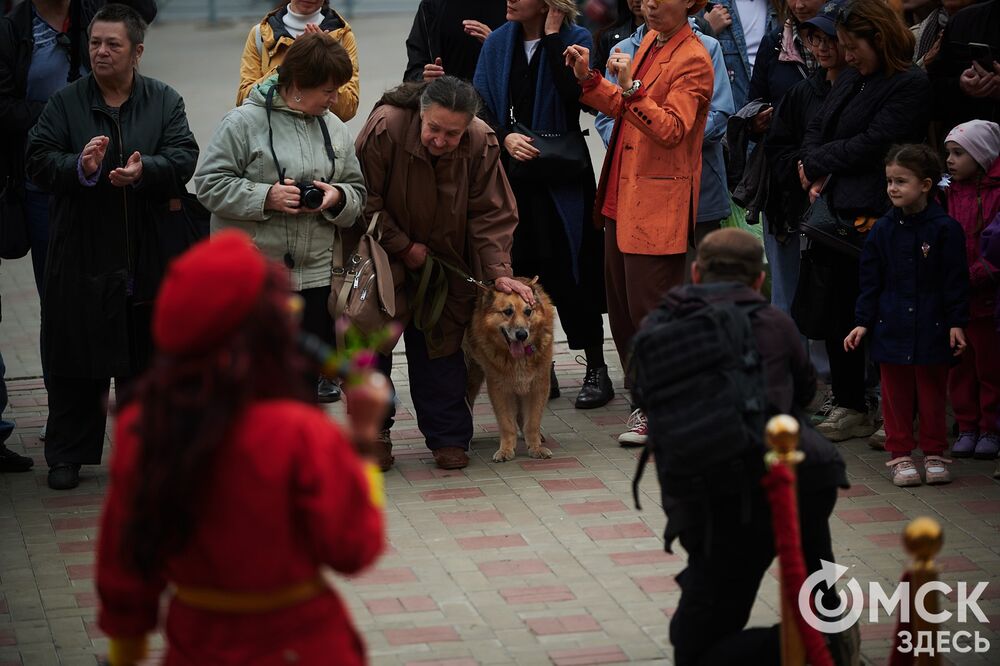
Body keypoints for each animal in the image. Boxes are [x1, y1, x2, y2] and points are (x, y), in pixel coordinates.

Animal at [466, 276, 556, 462]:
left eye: (528, 311)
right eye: (508, 311)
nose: (522, 335)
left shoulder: (538, 385)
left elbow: (532, 422)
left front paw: (535, 447)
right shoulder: (499, 389)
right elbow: (506, 423)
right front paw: (506, 449)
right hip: (471, 377)